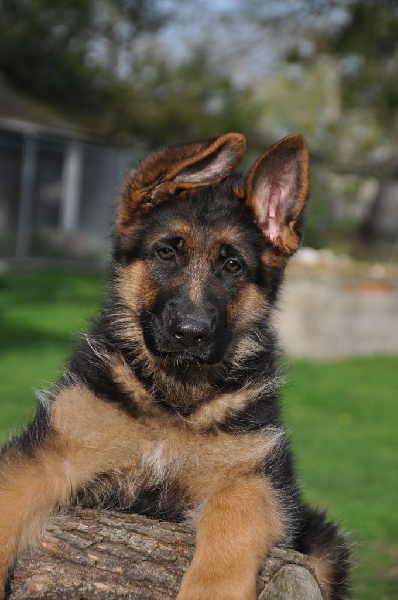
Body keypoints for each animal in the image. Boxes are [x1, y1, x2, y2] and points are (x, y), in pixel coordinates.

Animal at [0, 134, 348, 596]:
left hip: (324, 545)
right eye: (165, 253)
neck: (174, 397)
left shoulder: (255, 480)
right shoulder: (50, 455)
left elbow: (233, 518)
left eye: (232, 265)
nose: (190, 333)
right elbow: (8, 502)